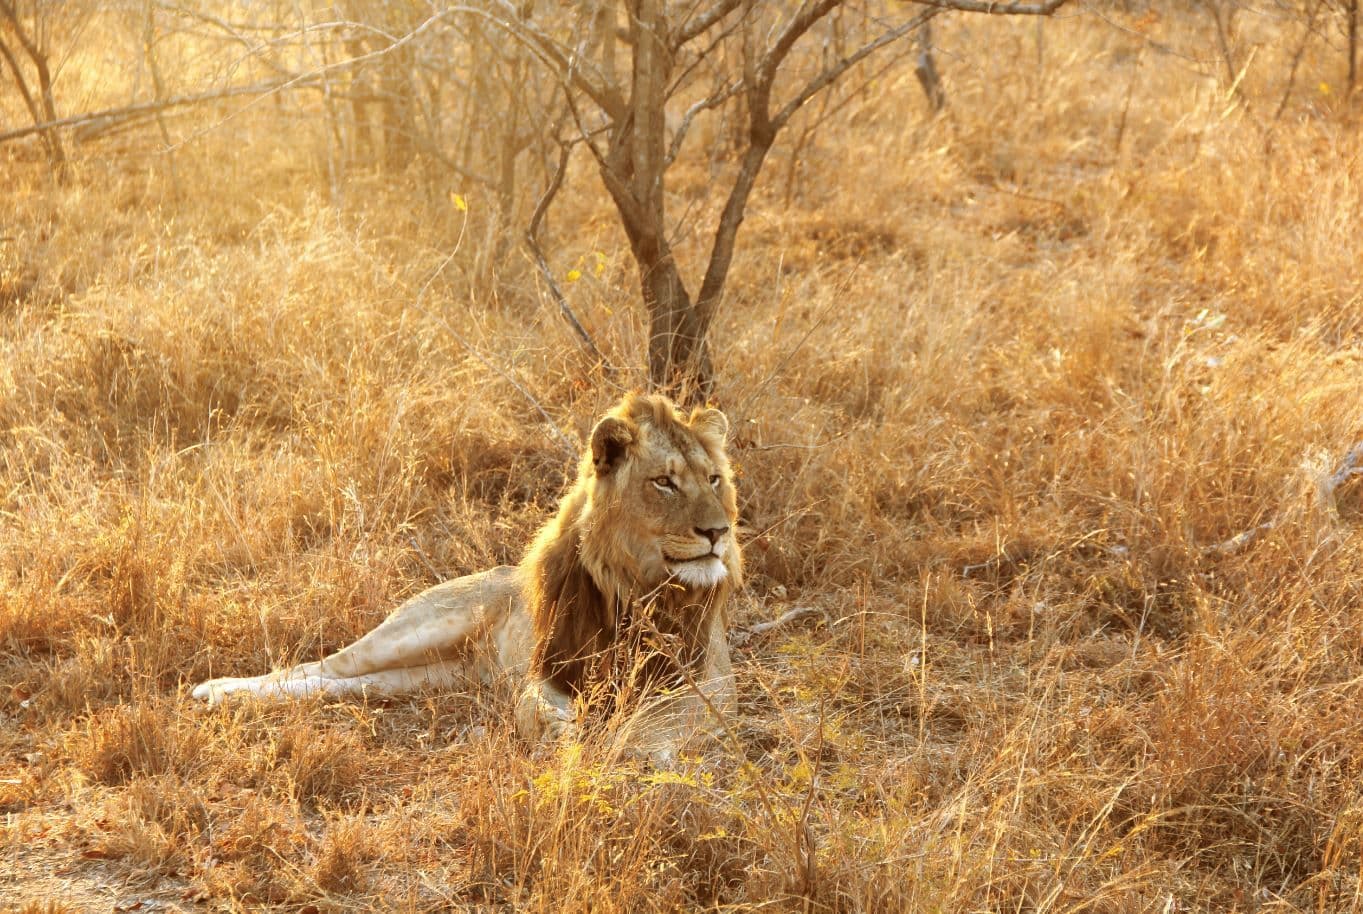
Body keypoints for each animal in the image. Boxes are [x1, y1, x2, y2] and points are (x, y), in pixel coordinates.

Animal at [194, 392, 736, 757]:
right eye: (664, 483)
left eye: (714, 479)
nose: (719, 531)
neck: (638, 586)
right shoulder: (548, 671)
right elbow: (533, 708)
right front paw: (566, 736)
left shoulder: (710, 684)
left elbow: (660, 723)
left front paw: (630, 747)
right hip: (417, 628)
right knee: (318, 667)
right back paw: (216, 691)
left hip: (429, 676)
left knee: (340, 684)